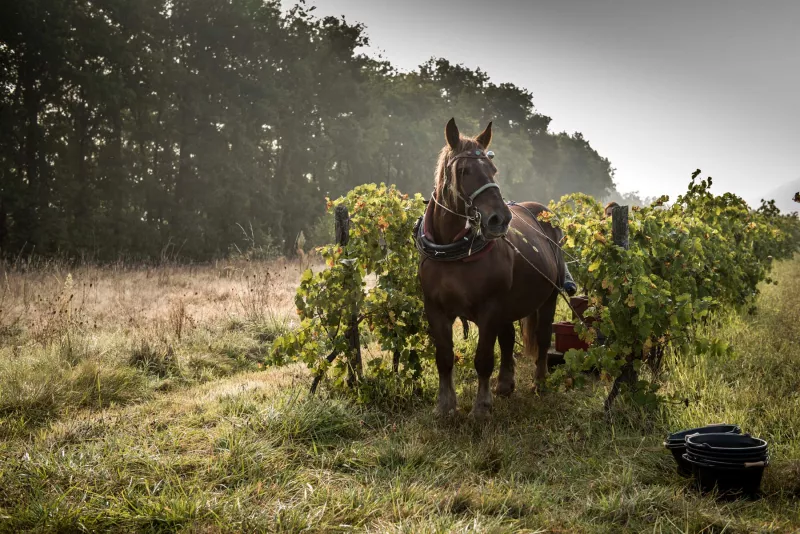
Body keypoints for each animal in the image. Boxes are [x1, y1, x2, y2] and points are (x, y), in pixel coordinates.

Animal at [418, 117, 568, 418]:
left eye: (493, 169)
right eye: (463, 170)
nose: (500, 219)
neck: (453, 252)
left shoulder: (489, 309)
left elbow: (484, 359)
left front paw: (481, 407)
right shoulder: (435, 309)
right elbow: (444, 357)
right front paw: (445, 405)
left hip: (549, 296)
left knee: (543, 337)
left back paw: (539, 382)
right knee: (508, 338)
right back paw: (505, 384)